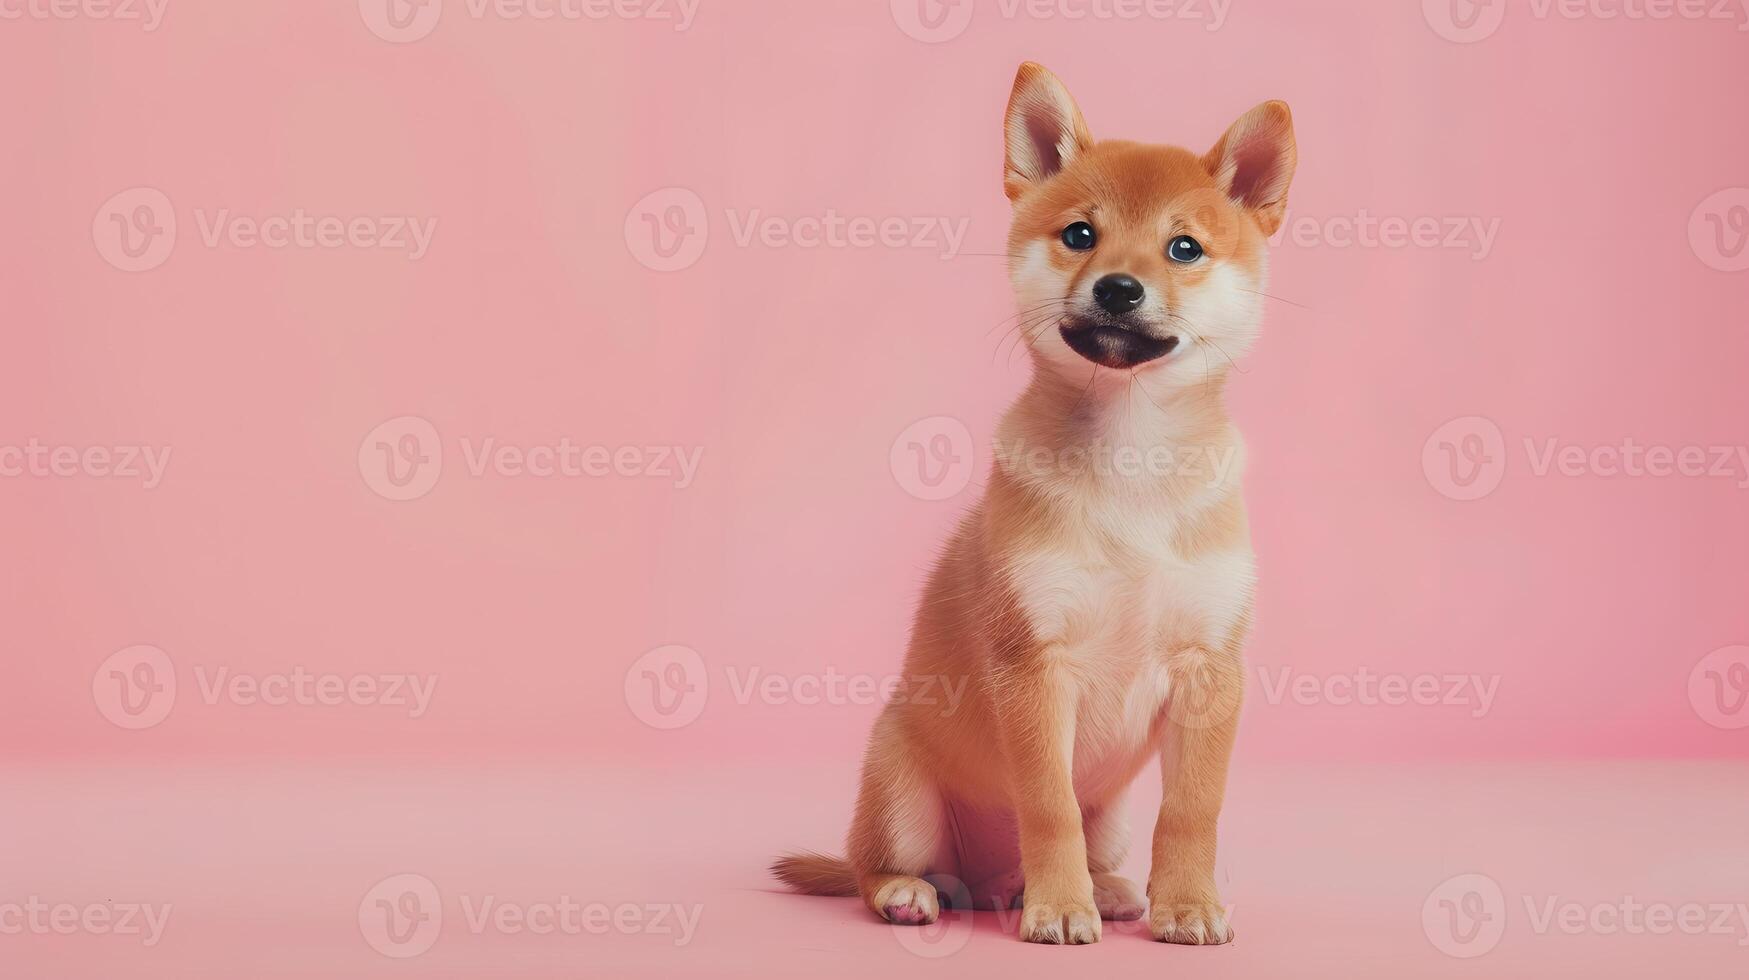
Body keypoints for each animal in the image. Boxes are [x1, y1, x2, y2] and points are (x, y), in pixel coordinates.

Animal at [773, 59, 1294, 945]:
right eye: (1079, 236)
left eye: (1183, 248)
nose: (1118, 288)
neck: (1131, 453)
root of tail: (984, 884)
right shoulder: (1032, 669)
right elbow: (1048, 808)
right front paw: (1060, 907)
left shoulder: (1207, 673)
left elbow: (1191, 813)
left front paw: (1185, 902)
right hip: (900, 791)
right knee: (876, 868)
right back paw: (931, 893)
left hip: (1111, 811)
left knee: (1085, 848)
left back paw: (1107, 889)